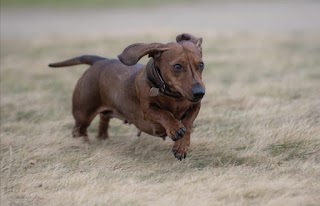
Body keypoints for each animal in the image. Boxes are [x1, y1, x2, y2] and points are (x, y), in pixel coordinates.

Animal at [49, 33, 206, 160]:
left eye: (201, 65)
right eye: (178, 66)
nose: (200, 93)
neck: (174, 97)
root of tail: (99, 61)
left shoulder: (195, 106)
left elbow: (188, 123)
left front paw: (181, 146)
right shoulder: (148, 111)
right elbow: (164, 114)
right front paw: (175, 127)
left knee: (103, 120)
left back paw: (103, 139)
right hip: (83, 115)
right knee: (79, 130)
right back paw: (83, 143)